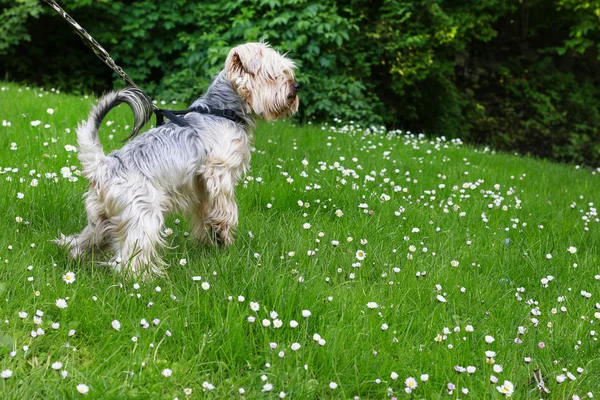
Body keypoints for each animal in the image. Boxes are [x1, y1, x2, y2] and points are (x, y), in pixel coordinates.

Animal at [56, 41, 300, 278]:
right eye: (273, 75)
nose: (296, 86)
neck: (220, 111)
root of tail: (103, 167)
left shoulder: (200, 188)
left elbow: (206, 212)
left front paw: (212, 237)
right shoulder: (219, 172)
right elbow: (226, 207)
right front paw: (224, 233)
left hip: (101, 219)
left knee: (81, 241)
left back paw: (75, 257)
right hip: (143, 215)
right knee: (130, 258)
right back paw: (141, 281)